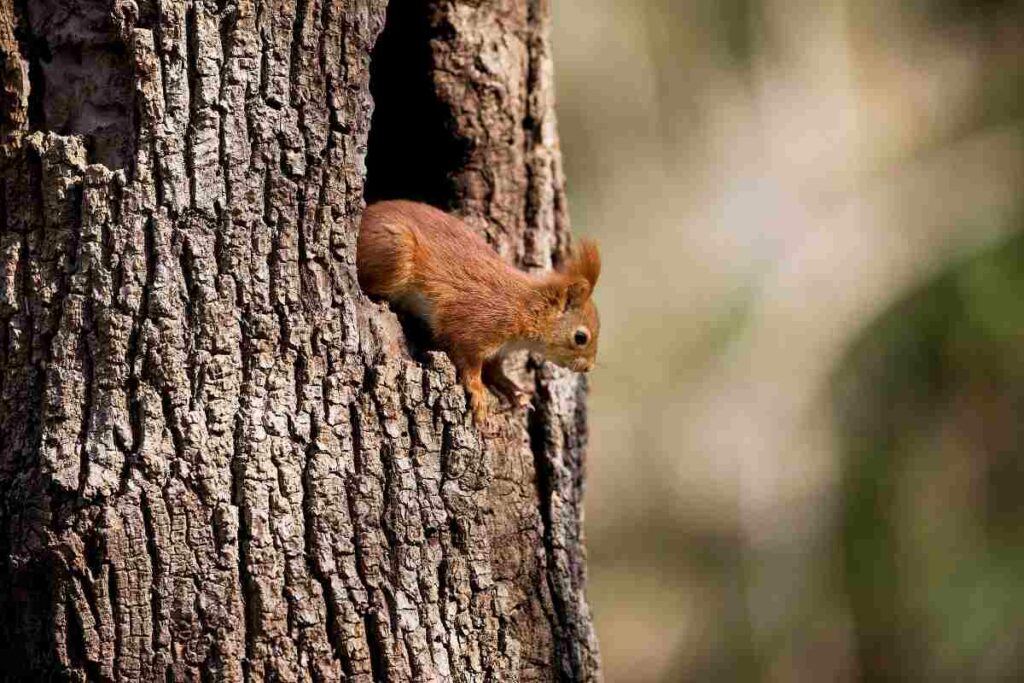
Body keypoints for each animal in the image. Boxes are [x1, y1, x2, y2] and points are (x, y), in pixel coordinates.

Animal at [357, 200, 600, 425]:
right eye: (581, 337)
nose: (588, 368)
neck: (527, 308)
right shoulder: (475, 325)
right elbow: (469, 361)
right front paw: (477, 393)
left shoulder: (498, 350)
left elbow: (494, 370)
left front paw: (513, 389)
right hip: (395, 252)